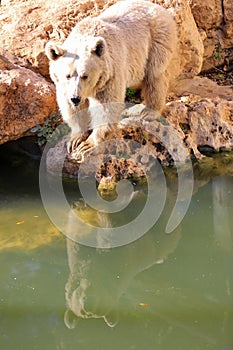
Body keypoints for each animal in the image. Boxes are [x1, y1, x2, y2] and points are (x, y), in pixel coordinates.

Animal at [45, 0, 177, 159]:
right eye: (67, 75)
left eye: (85, 75)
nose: (75, 98)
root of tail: (160, 8)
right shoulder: (63, 87)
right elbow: (70, 107)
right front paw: (75, 139)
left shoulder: (110, 75)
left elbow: (106, 108)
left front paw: (87, 145)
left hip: (156, 41)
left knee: (155, 75)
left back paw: (147, 111)